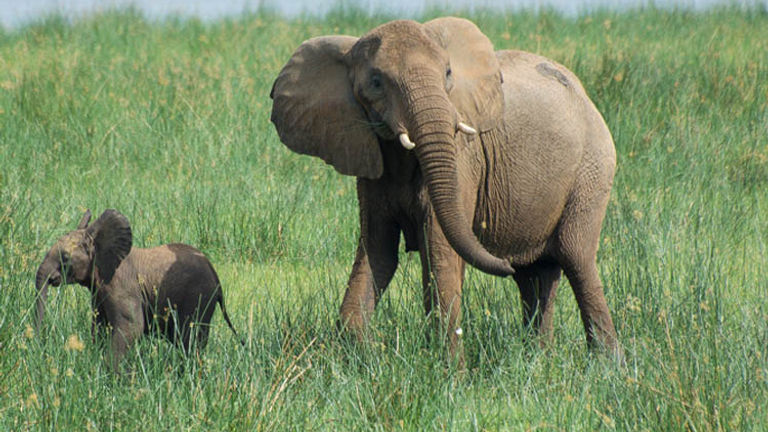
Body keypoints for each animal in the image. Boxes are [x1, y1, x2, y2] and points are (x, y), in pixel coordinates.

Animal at [35, 209, 241, 369]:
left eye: (65, 257)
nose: (37, 342)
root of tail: (215, 275)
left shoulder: (121, 286)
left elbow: (131, 327)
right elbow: (100, 328)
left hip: (199, 297)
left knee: (190, 341)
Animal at [270, 17, 621, 363]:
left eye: (448, 73)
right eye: (376, 82)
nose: (502, 264)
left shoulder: (463, 161)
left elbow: (440, 253)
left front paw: (450, 371)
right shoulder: (369, 160)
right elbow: (378, 253)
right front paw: (355, 358)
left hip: (593, 169)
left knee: (576, 258)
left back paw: (607, 366)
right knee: (535, 274)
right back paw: (538, 359)